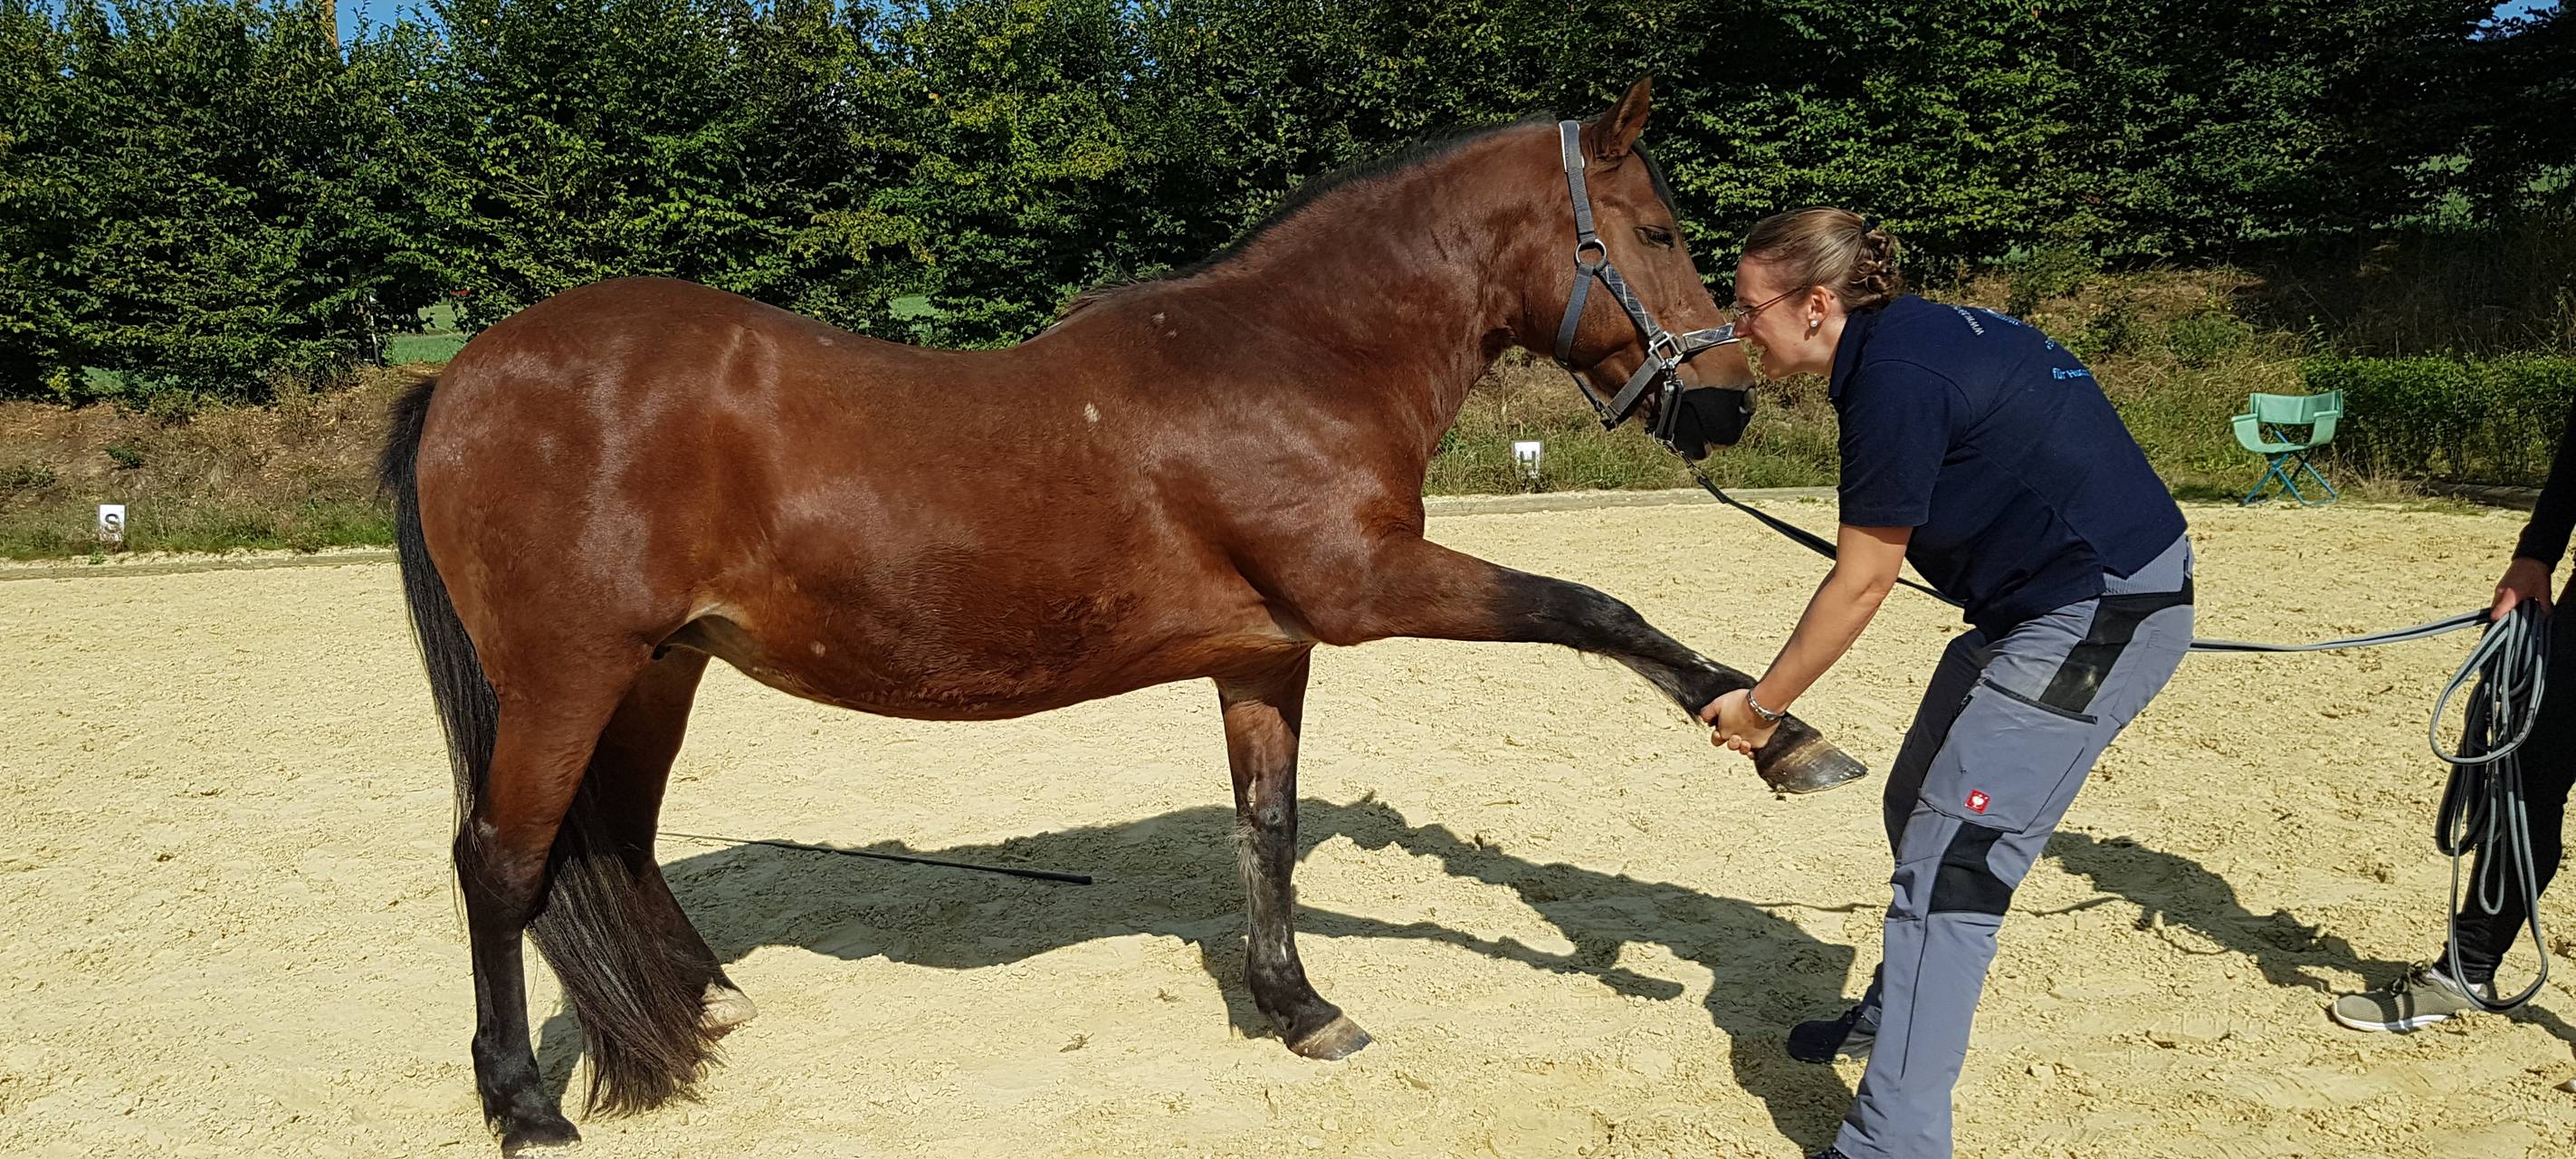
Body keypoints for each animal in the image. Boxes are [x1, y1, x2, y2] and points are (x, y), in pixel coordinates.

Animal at [379, 77, 1865, 1154]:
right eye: (1658, 235)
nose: (1724, 405)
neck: (1293, 358)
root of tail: (462, 373)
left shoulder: (1268, 655)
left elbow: (1266, 832)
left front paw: (1297, 1008)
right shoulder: (1370, 588)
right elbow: (1593, 605)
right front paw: (1783, 740)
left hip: (659, 671)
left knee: (618, 839)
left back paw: (706, 1002)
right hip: (569, 671)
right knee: (501, 863)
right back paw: (522, 1102)